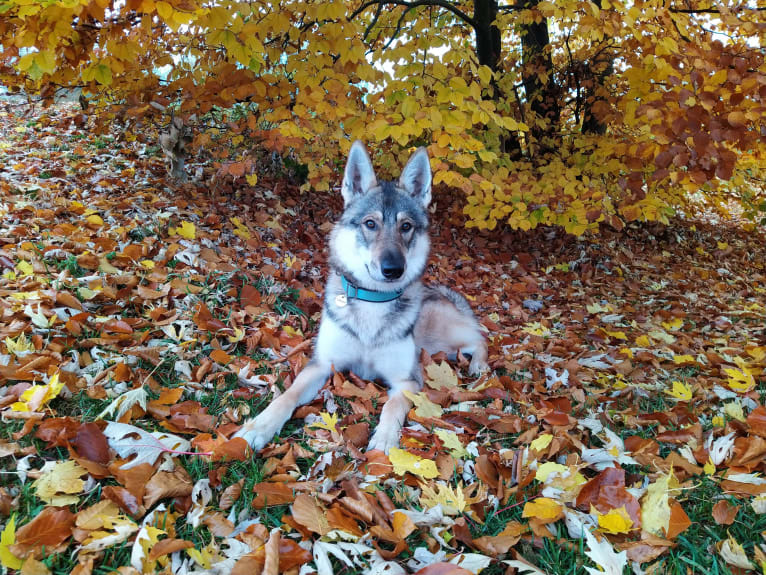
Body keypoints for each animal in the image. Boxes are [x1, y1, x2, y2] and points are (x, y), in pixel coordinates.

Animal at [231, 141, 488, 454]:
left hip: (442, 339)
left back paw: (479, 365)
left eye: (406, 226)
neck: (372, 301)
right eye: (370, 223)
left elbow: (392, 406)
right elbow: (287, 395)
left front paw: (385, 440)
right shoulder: (321, 365)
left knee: (480, 338)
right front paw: (259, 427)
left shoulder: (407, 381)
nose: (394, 269)